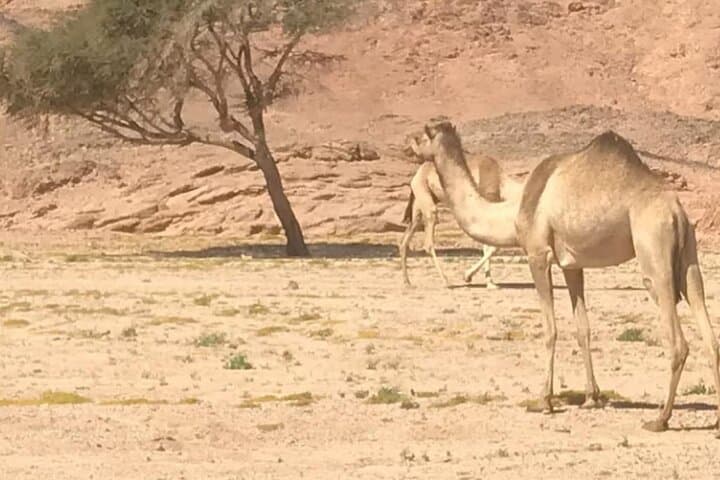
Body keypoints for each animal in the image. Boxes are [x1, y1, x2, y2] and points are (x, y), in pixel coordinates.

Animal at [398, 153, 522, 288]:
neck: (501, 182)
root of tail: (417, 174)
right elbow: (492, 247)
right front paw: (467, 276)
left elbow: (488, 247)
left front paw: (490, 283)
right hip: (426, 197)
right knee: (428, 242)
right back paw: (446, 281)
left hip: (420, 203)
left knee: (405, 239)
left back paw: (407, 282)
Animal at [418, 121, 720, 433]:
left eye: (418, 137)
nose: (406, 148)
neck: (513, 212)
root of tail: (676, 212)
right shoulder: (572, 266)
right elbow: (582, 329)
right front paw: (591, 397)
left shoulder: (537, 255)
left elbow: (550, 330)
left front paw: (544, 400)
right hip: (690, 258)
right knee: (708, 328)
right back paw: (715, 419)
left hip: (653, 249)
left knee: (677, 339)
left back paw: (661, 418)